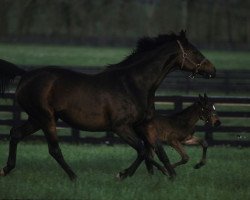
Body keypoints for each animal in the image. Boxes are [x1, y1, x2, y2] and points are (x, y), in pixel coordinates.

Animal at [0, 30, 215, 180]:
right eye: (194, 51)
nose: (213, 70)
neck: (134, 84)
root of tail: (26, 75)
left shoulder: (145, 125)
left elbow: (158, 151)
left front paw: (170, 176)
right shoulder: (120, 127)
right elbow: (143, 150)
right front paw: (123, 174)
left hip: (36, 118)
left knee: (15, 134)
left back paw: (6, 169)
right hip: (45, 118)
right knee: (54, 150)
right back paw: (74, 177)